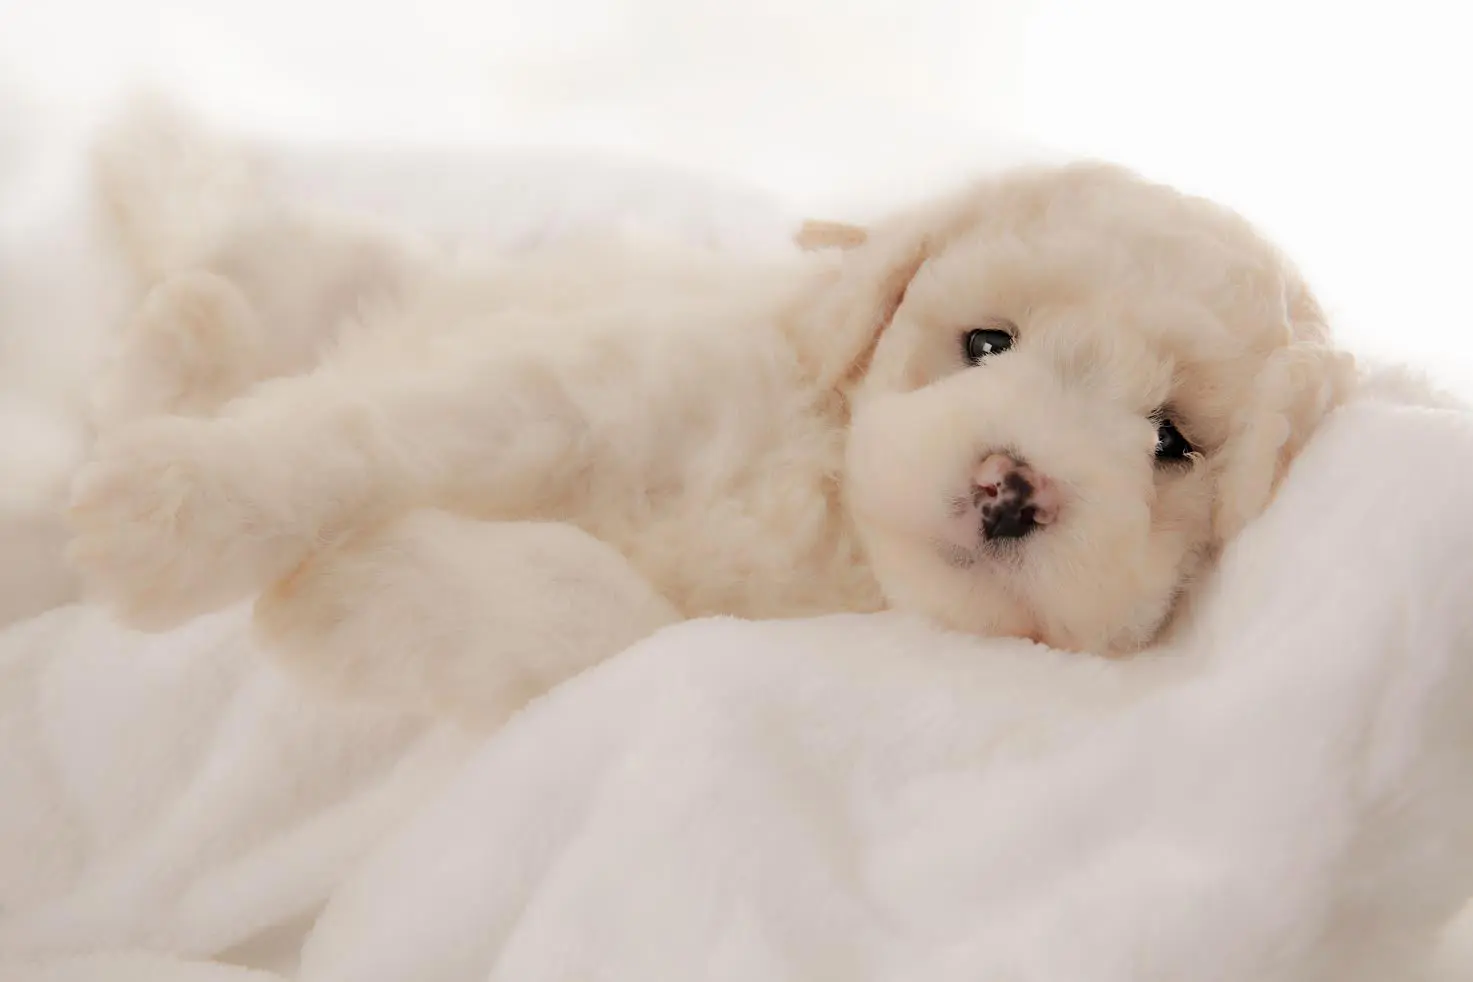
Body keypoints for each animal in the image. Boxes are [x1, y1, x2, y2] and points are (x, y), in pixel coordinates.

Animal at [69, 115, 1355, 727]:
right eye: (988, 345)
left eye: (1170, 443)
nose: (1010, 485)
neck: (825, 501)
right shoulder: (581, 392)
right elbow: (370, 438)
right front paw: (188, 516)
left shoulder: (710, 635)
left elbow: (609, 620)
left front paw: (357, 589)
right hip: (333, 273)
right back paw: (185, 336)